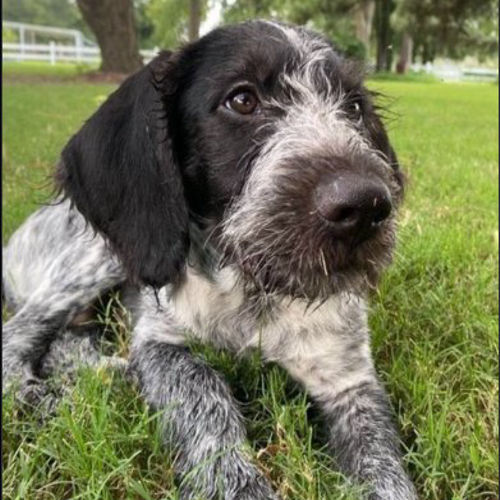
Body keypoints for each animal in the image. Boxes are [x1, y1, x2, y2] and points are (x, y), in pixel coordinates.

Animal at [3, 20, 417, 500]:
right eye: (242, 100)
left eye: (353, 107)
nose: (366, 206)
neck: (256, 288)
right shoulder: (160, 342)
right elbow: (202, 384)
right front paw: (235, 483)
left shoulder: (350, 380)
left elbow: (382, 465)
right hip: (94, 258)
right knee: (18, 339)